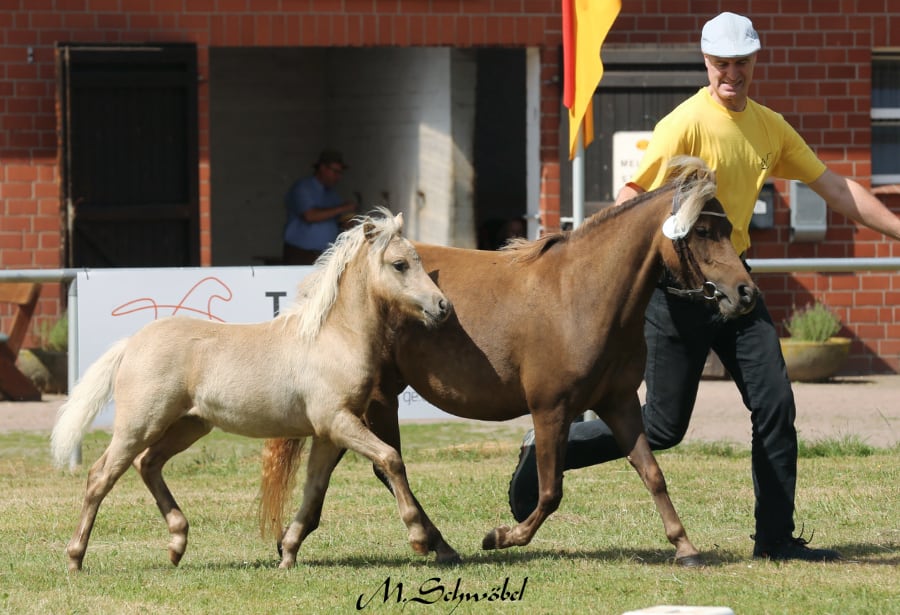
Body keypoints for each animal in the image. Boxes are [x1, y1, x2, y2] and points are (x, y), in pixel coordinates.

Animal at [50, 212, 458, 572]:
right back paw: (75, 559)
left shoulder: (328, 434)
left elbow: (313, 490)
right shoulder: (338, 422)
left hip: (189, 425)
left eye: (419, 261)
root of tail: (131, 344)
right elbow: (391, 459)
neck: (332, 338)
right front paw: (419, 538)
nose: (442, 307)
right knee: (101, 476)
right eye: (400, 264)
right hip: (140, 424)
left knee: (147, 464)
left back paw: (177, 544)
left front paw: (288, 553)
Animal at [262, 159, 760, 568]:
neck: (582, 294)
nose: (745, 293)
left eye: (725, 227)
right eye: (701, 231)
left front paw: (685, 546)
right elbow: (550, 491)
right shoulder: (550, 409)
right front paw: (501, 536)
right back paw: (430, 542)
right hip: (381, 398)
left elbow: (652, 473)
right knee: (384, 465)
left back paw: (299, 542)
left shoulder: (618, 403)